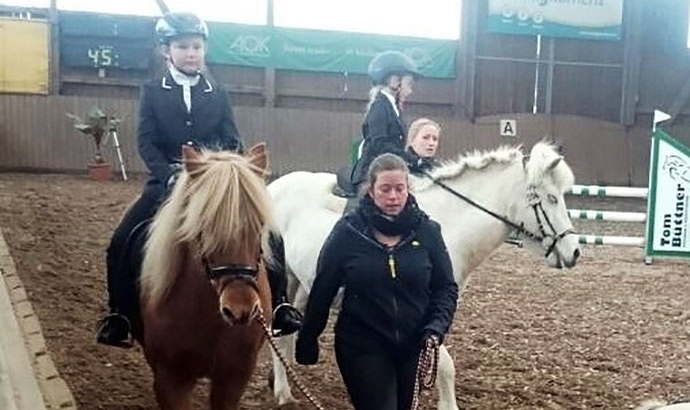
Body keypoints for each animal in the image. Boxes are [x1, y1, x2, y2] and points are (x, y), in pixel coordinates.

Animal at [268, 142, 580, 410]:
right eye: (551, 198)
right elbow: (444, 365)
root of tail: (273, 187)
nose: (574, 251)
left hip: (305, 285)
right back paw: (283, 392)